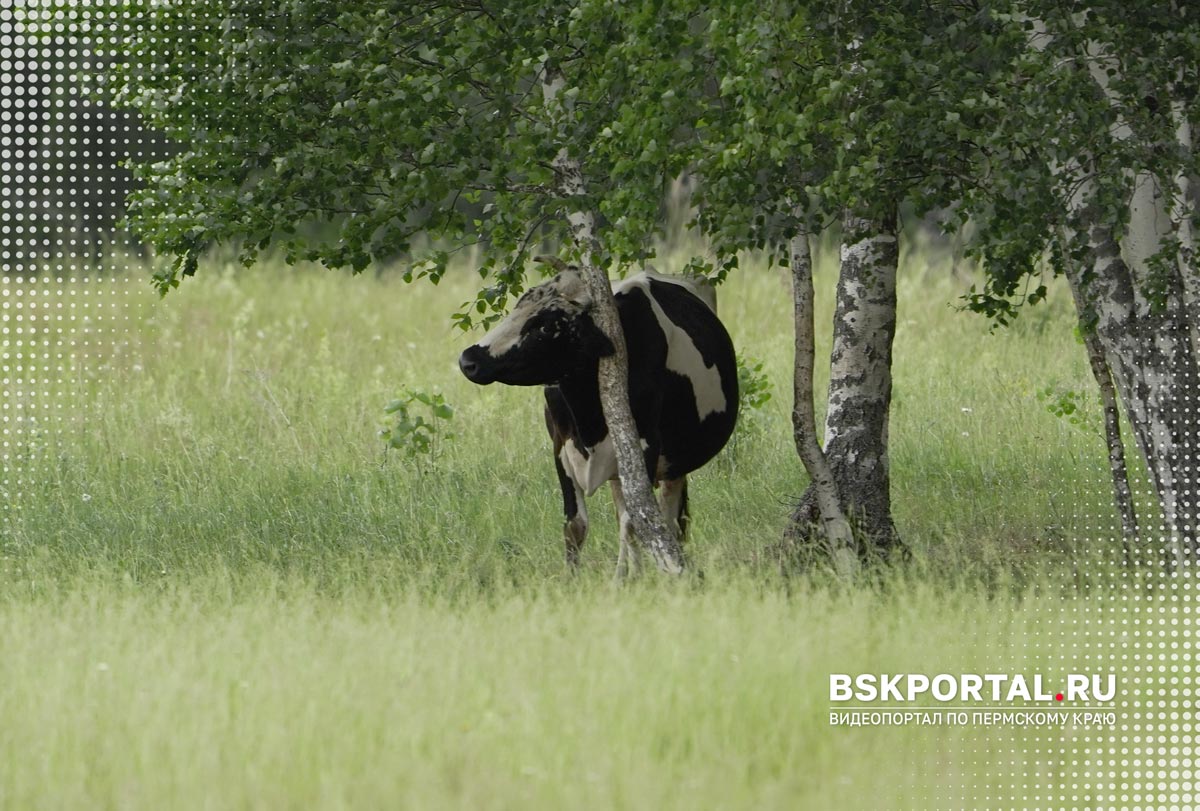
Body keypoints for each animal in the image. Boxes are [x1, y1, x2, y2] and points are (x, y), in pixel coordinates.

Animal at [457, 258, 739, 575]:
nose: (468, 360)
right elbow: (575, 524)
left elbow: (634, 521)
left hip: (674, 461)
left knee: (668, 518)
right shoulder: (561, 447)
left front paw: (627, 580)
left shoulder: (644, 445)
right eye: (519, 305)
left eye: (546, 326)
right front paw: (573, 577)